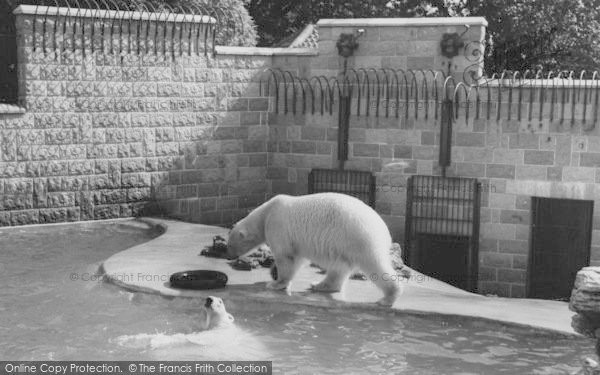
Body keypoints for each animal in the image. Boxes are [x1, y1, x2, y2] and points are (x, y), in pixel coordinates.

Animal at [227, 192, 400, 306]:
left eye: (230, 244)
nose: (228, 256)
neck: (267, 212)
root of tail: (384, 228)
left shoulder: (277, 226)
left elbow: (285, 256)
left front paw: (275, 283)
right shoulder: (295, 240)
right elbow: (298, 259)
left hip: (358, 236)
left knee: (374, 264)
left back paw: (388, 298)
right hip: (345, 244)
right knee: (339, 267)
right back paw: (319, 285)